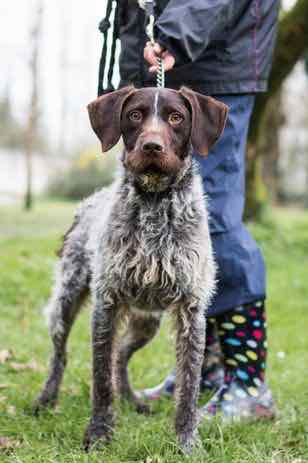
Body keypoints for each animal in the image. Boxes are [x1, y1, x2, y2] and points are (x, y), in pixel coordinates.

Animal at [33, 86, 227, 454]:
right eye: (135, 115)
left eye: (176, 117)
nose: (152, 146)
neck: (154, 203)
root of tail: (92, 199)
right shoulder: (107, 304)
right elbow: (100, 379)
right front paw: (99, 435)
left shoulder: (190, 311)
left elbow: (189, 387)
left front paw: (187, 443)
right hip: (66, 300)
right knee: (60, 355)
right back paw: (46, 399)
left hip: (147, 320)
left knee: (121, 354)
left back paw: (132, 400)